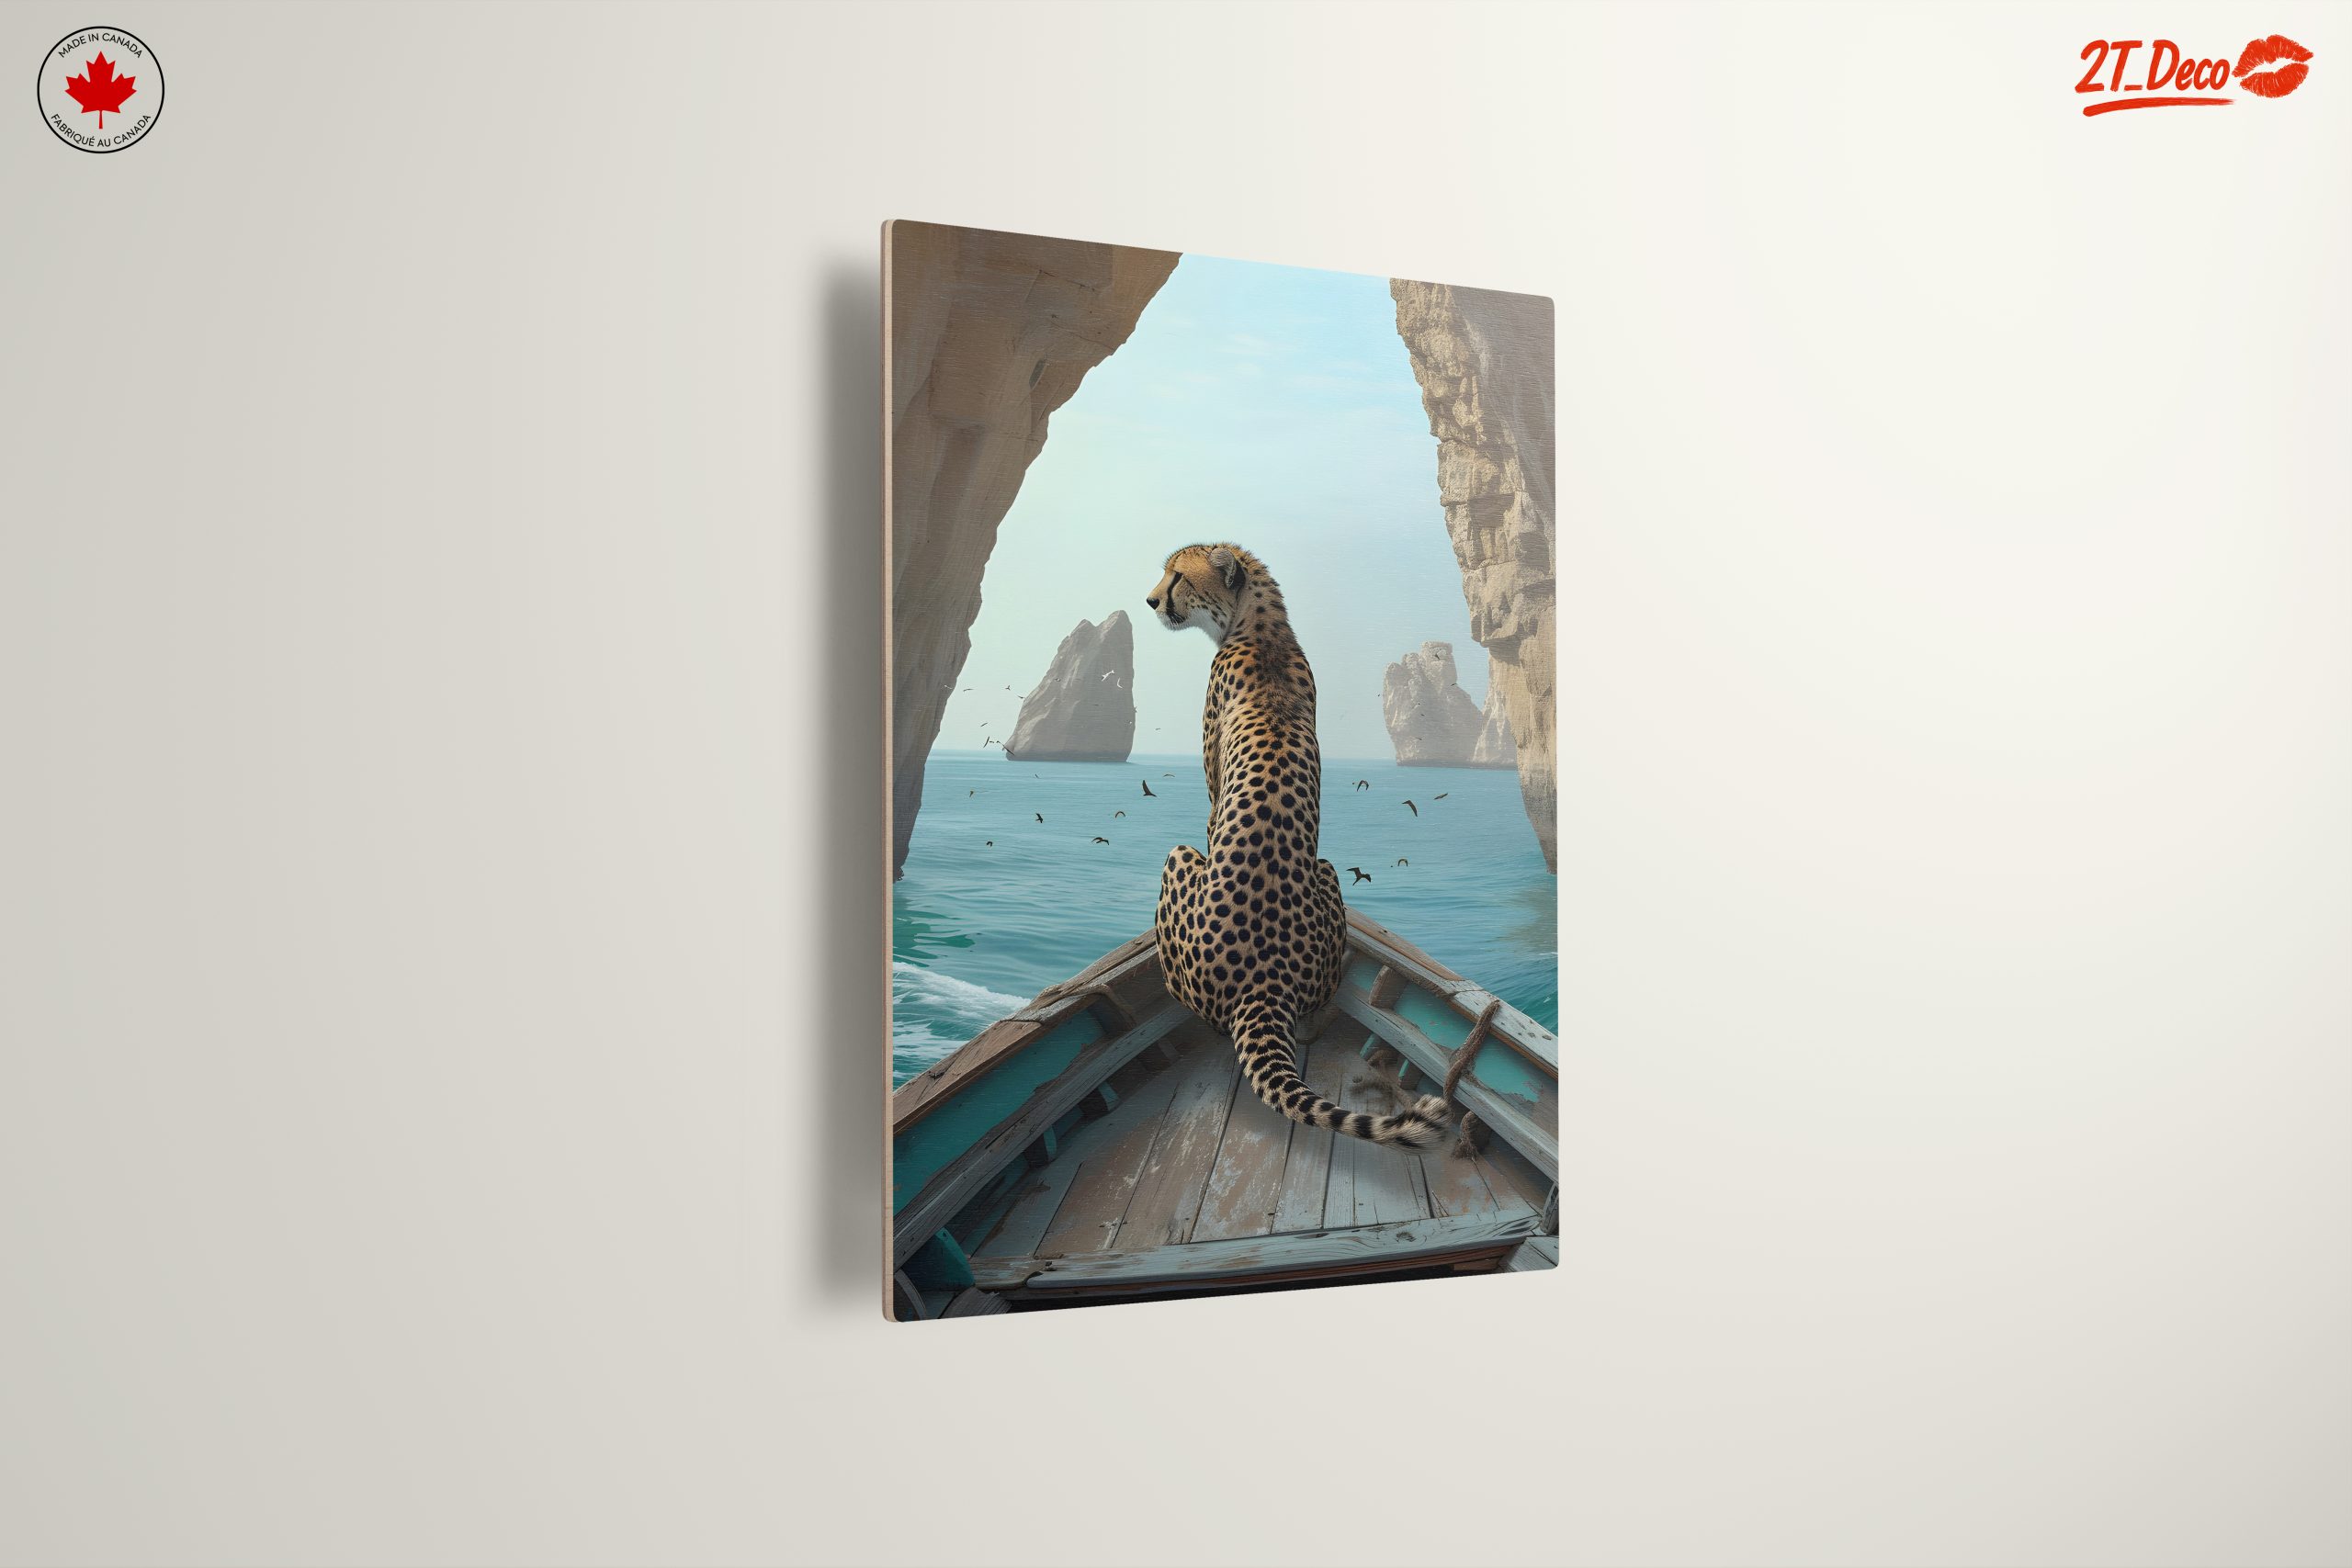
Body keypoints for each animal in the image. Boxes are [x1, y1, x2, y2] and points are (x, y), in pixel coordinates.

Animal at [1145, 542, 1448, 1149]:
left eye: (1177, 576)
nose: (1150, 600)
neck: (1260, 627)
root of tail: (1264, 982)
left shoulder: (1211, 788)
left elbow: (1209, 813)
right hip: (1326, 871)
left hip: (1185, 862)